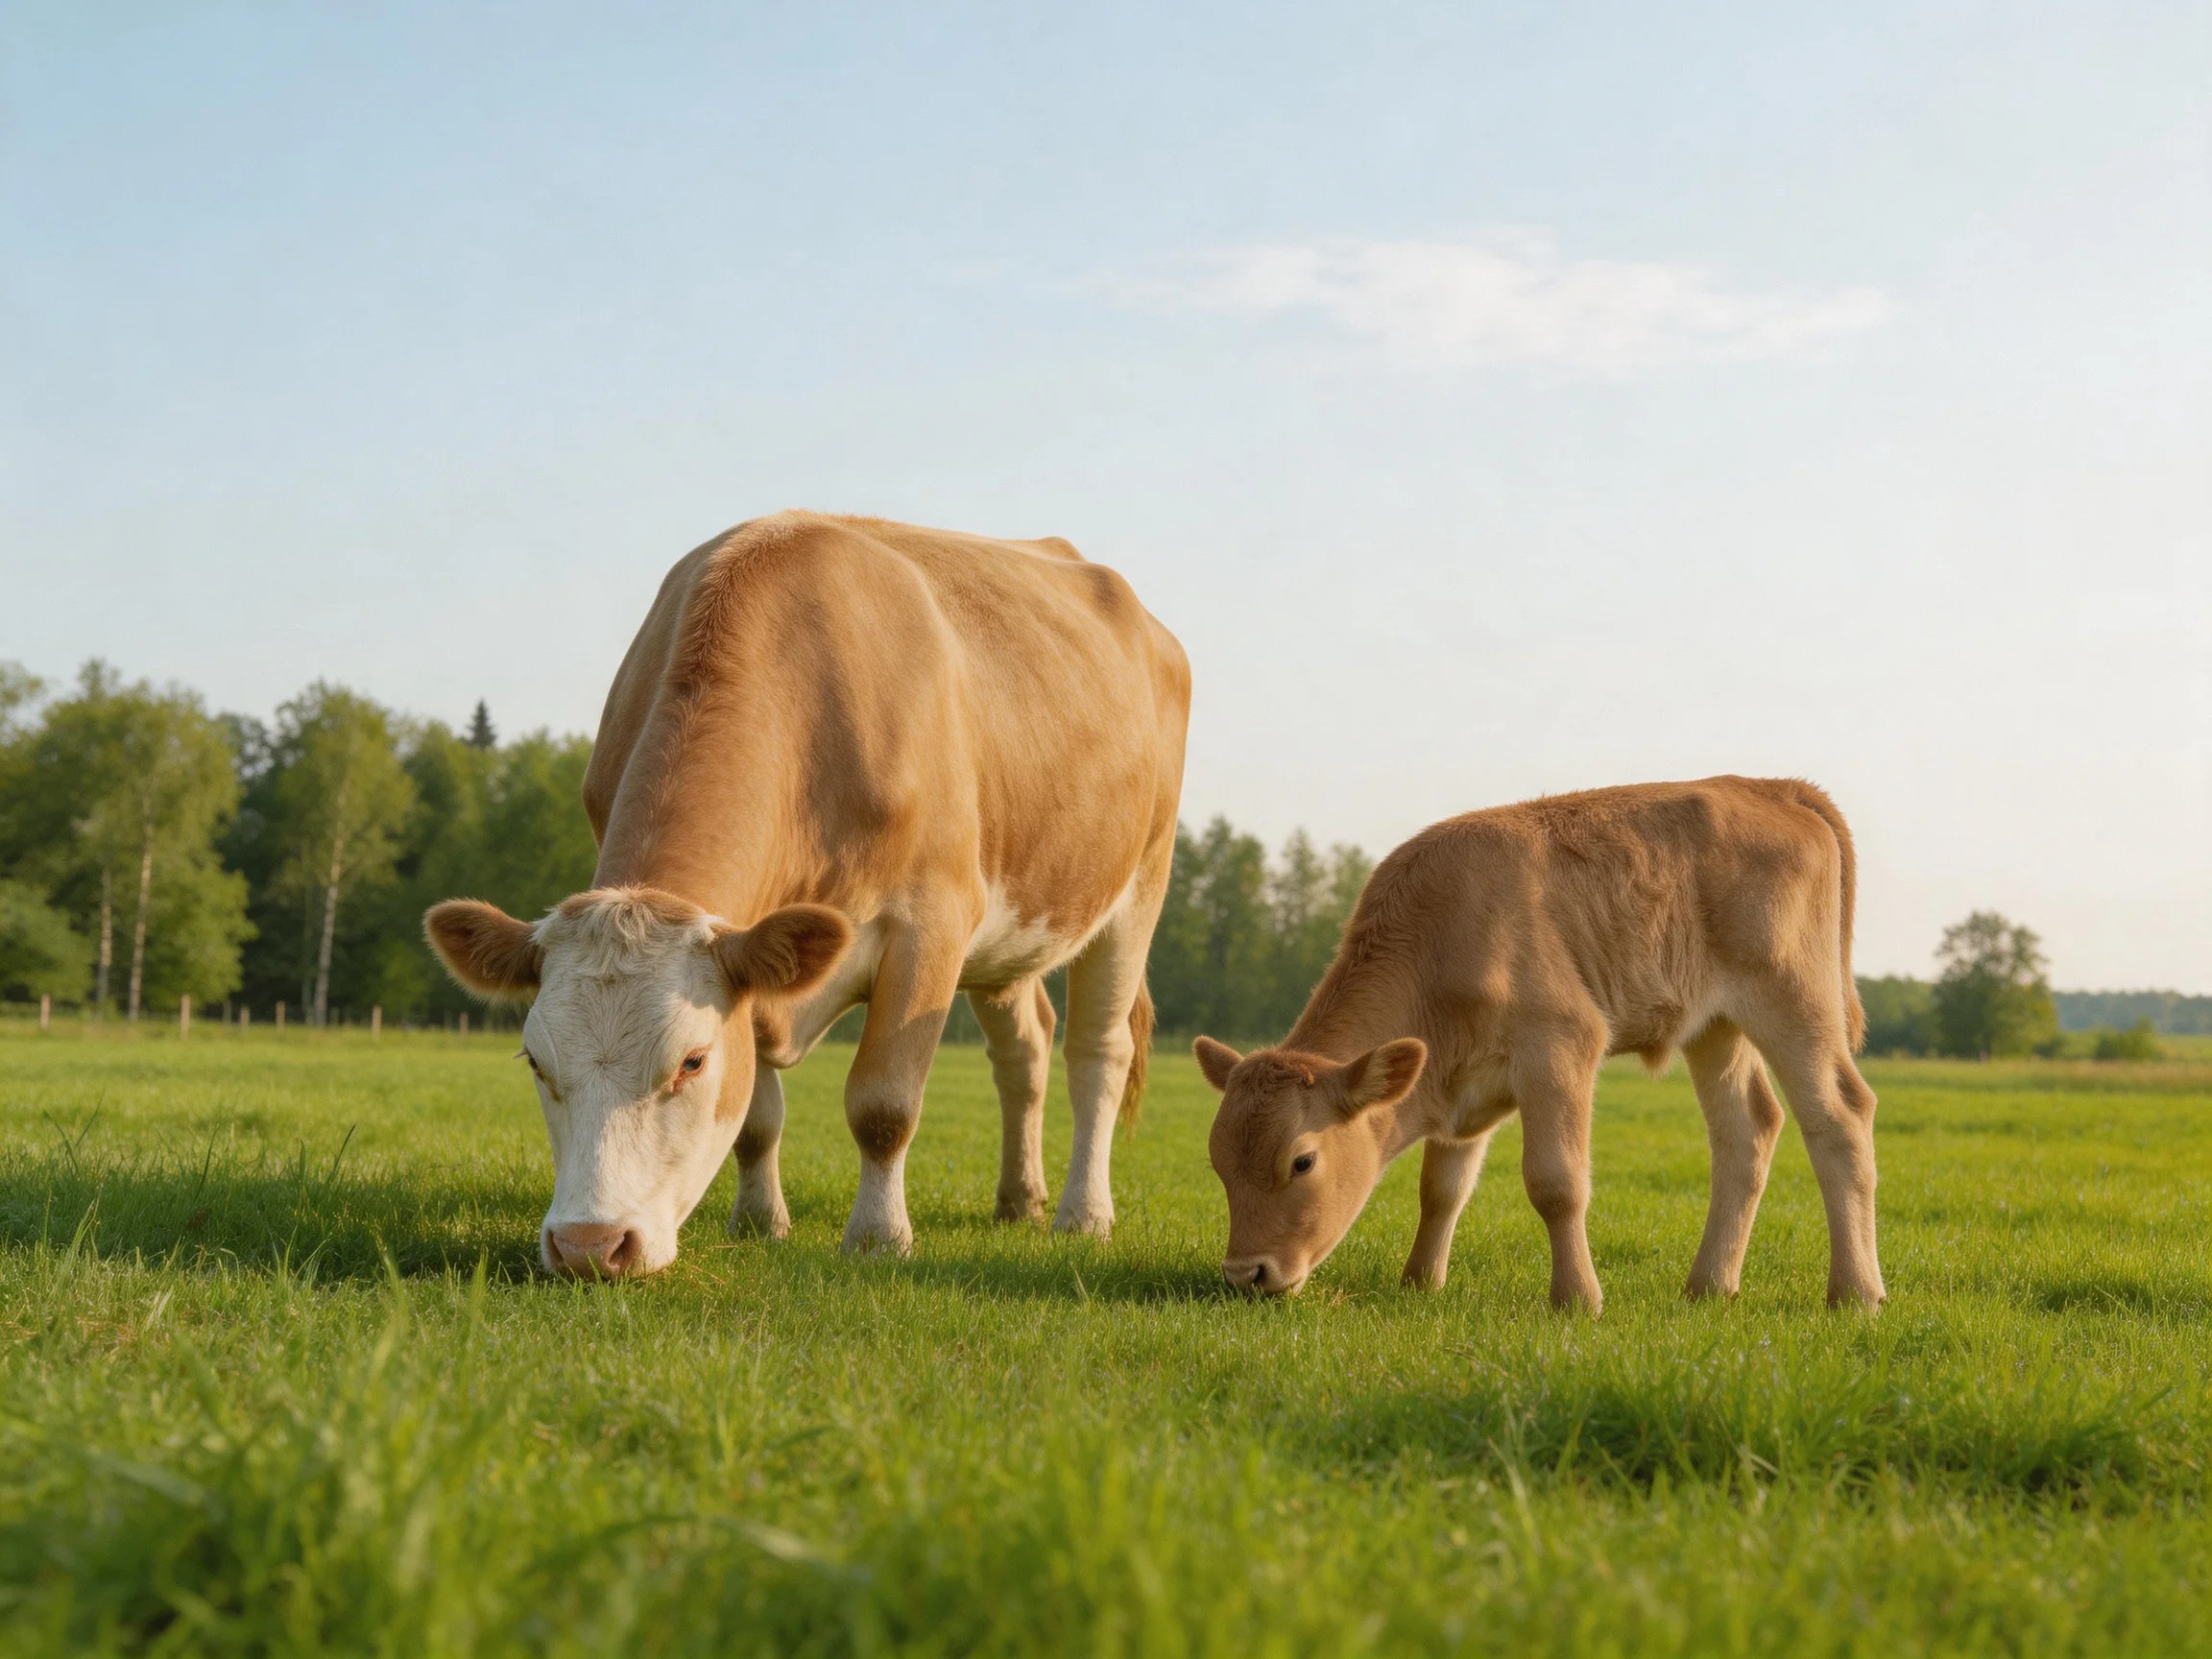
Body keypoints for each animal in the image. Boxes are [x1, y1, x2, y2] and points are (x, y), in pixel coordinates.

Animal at [425, 512, 1190, 1277]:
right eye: (535, 1061)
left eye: (692, 1061)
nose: (589, 1245)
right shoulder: (756, 961)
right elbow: (756, 1120)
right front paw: (760, 1222)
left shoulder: (932, 924)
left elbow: (884, 1104)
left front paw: (879, 1237)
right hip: (1014, 928)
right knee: (1024, 1051)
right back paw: (1019, 1199)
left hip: (1139, 884)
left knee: (1098, 1053)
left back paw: (1082, 1216)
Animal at [1194, 776, 1884, 1311]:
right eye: (1218, 1160)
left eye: (1302, 1161)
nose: (1245, 1273)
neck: (1440, 940)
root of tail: (1769, 787)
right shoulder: (1461, 1086)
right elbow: (1441, 1188)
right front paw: (1420, 1283)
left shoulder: (1560, 1048)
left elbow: (1556, 1183)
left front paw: (1577, 1298)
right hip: (1715, 1029)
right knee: (1746, 1131)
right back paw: (1709, 1286)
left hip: (1794, 1004)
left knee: (1839, 1118)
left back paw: (1855, 1293)